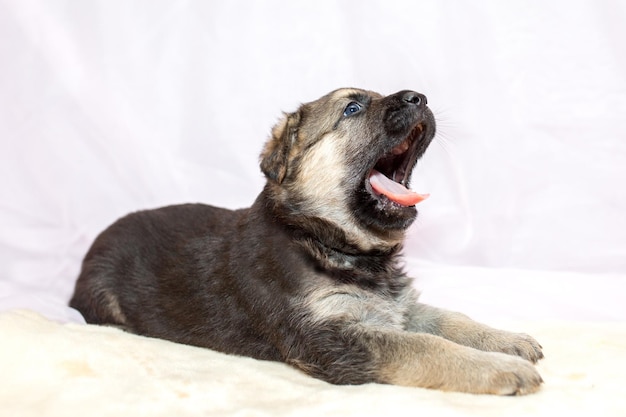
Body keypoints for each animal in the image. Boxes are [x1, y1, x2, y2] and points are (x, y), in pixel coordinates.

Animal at [69, 88, 540, 394]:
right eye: (352, 108)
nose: (418, 97)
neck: (326, 239)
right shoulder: (330, 337)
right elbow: (423, 347)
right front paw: (499, 368)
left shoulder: (396, 307)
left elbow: (448, 321)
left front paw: (506, 341)